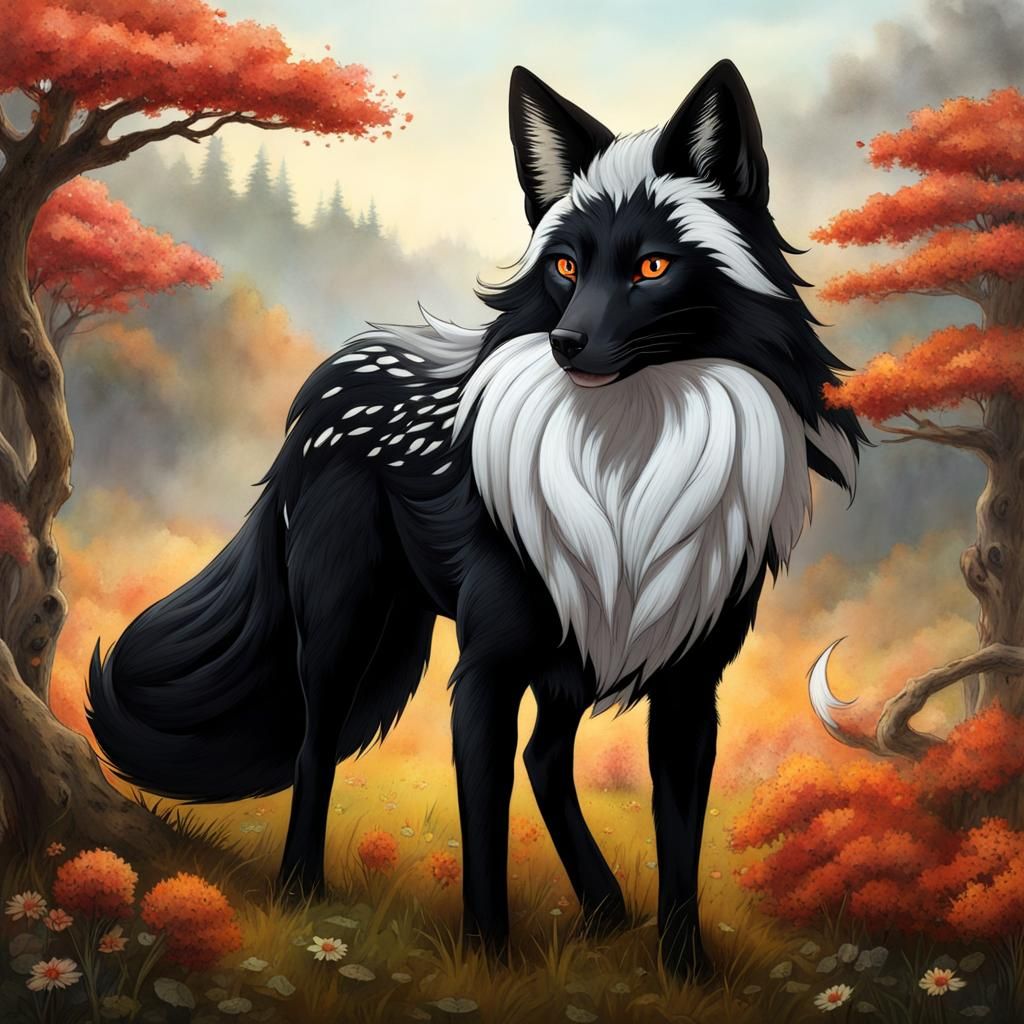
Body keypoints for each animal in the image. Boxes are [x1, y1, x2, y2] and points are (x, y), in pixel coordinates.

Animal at [87, 60, 864, 976]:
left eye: (652, 267)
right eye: (563, 266)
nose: (567, 343)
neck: (628, 462)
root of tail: (324, 384)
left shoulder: (687, 685)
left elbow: (679, 845)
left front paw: (686, 974)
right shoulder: (487, 671)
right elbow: (484, 826)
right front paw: (488, 961)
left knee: (546, 757)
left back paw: (604, 909)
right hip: (347, 622)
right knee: (318, 742)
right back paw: (301, 889)